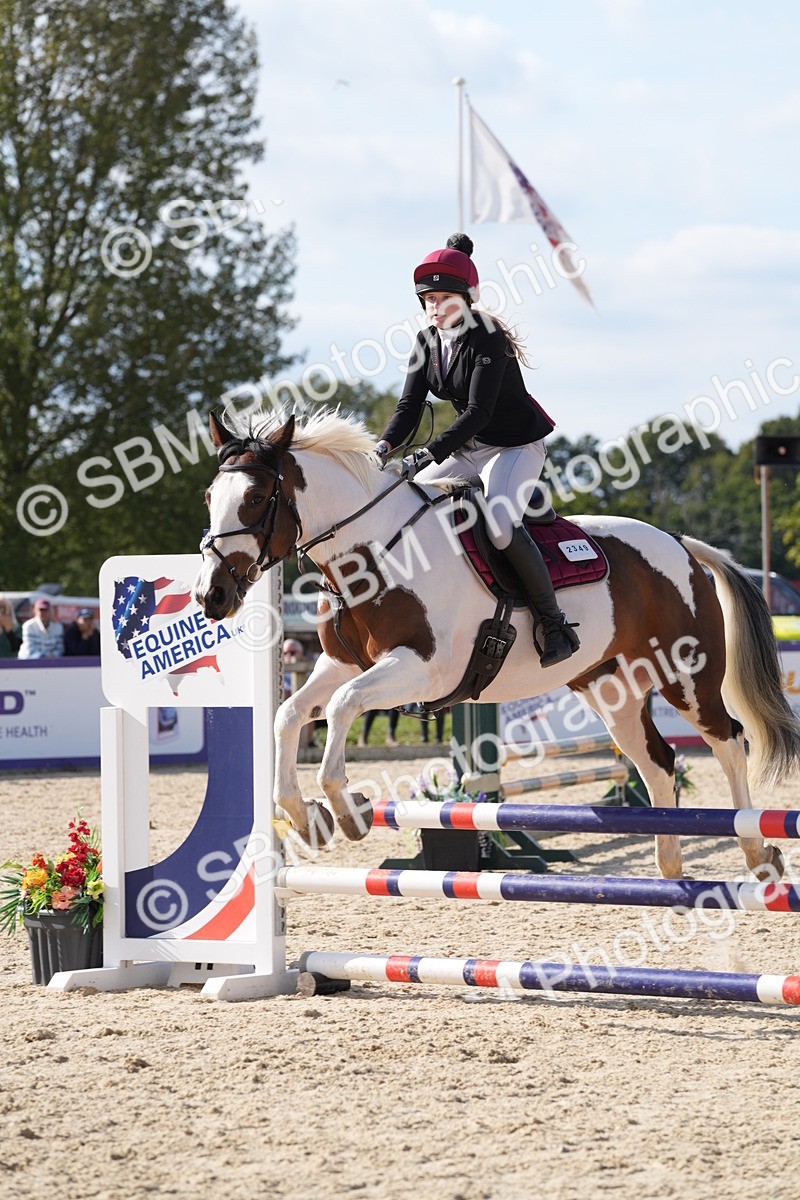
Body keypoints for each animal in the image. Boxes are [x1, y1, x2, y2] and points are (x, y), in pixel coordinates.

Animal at [193, 407, 800, 881]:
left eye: (255, 497)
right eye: (209, 495)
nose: (211, 595)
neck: (372, 551)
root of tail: (680, 544)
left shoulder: (420, 669)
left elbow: (342, 708)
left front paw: (347, 807)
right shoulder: (341, 664)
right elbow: (290, 714)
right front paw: (305, 816)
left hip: (686, 676)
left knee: (729, 742)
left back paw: (758, 854)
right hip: (613, 688)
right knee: (655, 760)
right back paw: (669, 864)